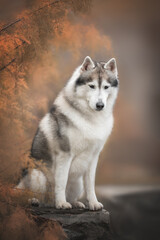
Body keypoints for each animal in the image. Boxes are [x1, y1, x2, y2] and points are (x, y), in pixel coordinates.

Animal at [16, 56, 119, 210]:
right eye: (92, 86)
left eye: (106, 87)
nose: (100, 105)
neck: (90, 118)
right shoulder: (65, 154)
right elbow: (61, 182)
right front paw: (61, 203)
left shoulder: (93, 156)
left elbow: (91, 184)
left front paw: (93, 203)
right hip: (37, 175)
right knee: (28, 195)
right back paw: (36, 200)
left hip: (77, 183)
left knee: (73, 194)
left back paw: (76, 203)